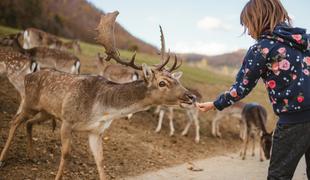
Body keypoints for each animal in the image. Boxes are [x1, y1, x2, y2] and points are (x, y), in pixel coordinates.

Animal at [0, 11, 196, 180]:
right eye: (162, 83)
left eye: (175, 80)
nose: (191, 97)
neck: (101, 110)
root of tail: (29, 75)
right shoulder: (68, 121)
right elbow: (66, 154)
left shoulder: (96, 132)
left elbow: (101, 162)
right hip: (29, 102)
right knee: (15, 121)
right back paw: (3, 159)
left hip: (46, 112)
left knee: (29, 123)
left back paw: (32, 156)